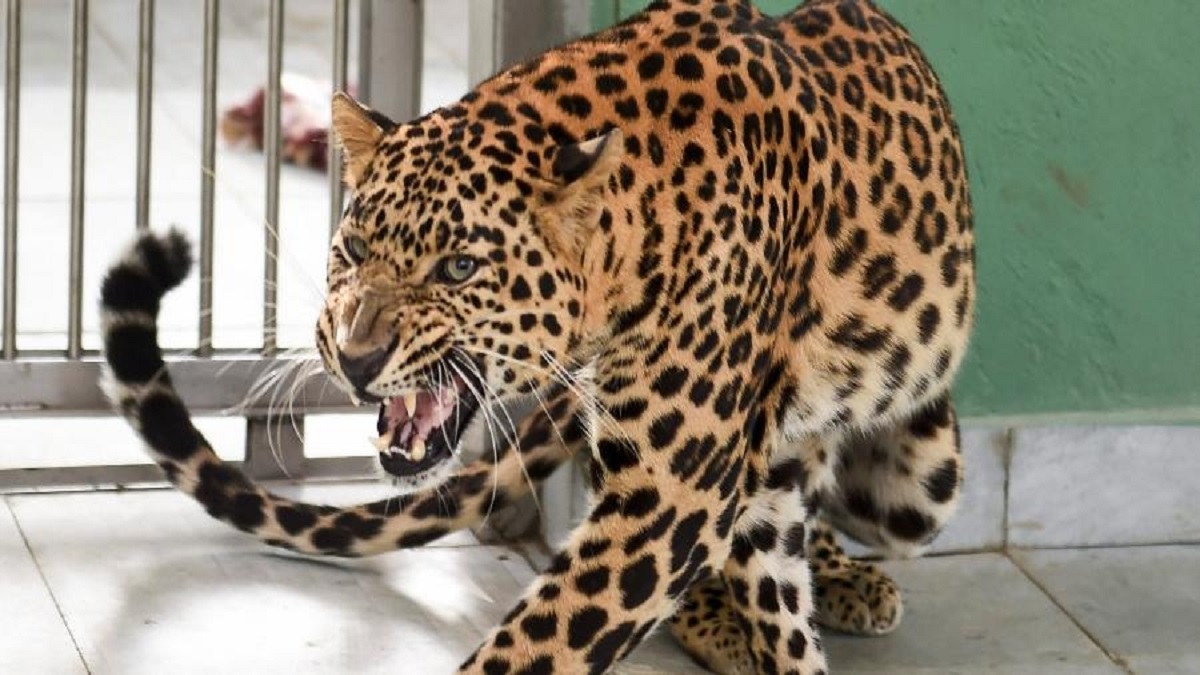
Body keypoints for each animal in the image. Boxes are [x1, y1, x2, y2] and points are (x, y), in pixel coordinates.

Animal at [99, 0, 974, 672]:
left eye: (458, 266)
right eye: (353, 248)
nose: (354, 357)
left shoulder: (673, 492)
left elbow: (542, 642)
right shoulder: (679, 487)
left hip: (921, 479)